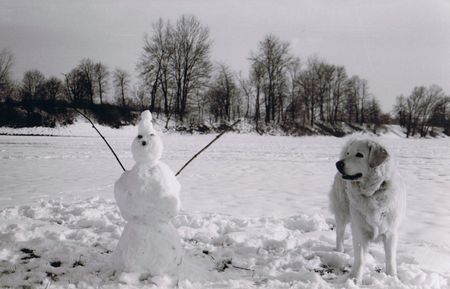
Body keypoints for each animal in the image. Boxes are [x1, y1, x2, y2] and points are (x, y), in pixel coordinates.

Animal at [328, 136, 406, 282]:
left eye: (359, 155)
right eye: (348, 153)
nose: (338, 164)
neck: (373, 193)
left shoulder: (390, 232)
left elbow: (390, 258)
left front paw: (392, 277)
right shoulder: (360, 230)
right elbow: (360, 259)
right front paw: (354, 279)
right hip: (342, 213)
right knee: (339, 233)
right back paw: (340, 251)